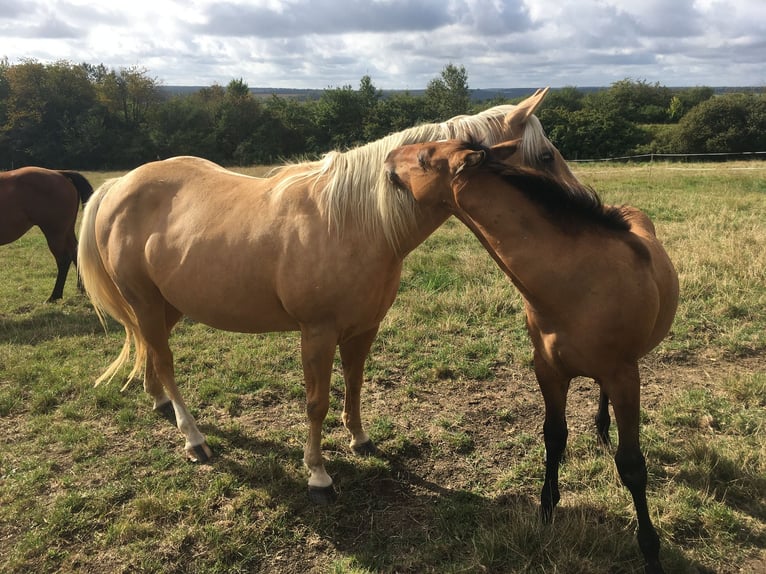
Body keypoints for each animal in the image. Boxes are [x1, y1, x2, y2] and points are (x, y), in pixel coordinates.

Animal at [1, 165, 95, 302]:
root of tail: (59, 173)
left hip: (55, 233)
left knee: (63, 260)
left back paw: (54, 296)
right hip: (66, 232)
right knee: (75, 253)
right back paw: (81, 289)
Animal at [76, 89, 560, 504]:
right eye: (545, 156)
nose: (575, 203)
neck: (358, 221)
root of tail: (119, 186)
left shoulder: (364, 327)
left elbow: (355, 383)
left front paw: (360, 439)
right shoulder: (317, 333)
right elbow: (316, 403)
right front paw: (318, 475)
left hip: (167, 305)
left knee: (150, 350)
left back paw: (157, 401)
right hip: (144, 301)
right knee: (165, 361)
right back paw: (193, 438)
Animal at [388, 137, 680, 572]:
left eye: (424, 157)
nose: (389, 158)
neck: (576, 284)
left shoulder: (625, 376)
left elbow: (632, 466)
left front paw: (650, 551)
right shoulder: (548, 371)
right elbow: (554, 437)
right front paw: (546, 511)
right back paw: (601, 429)